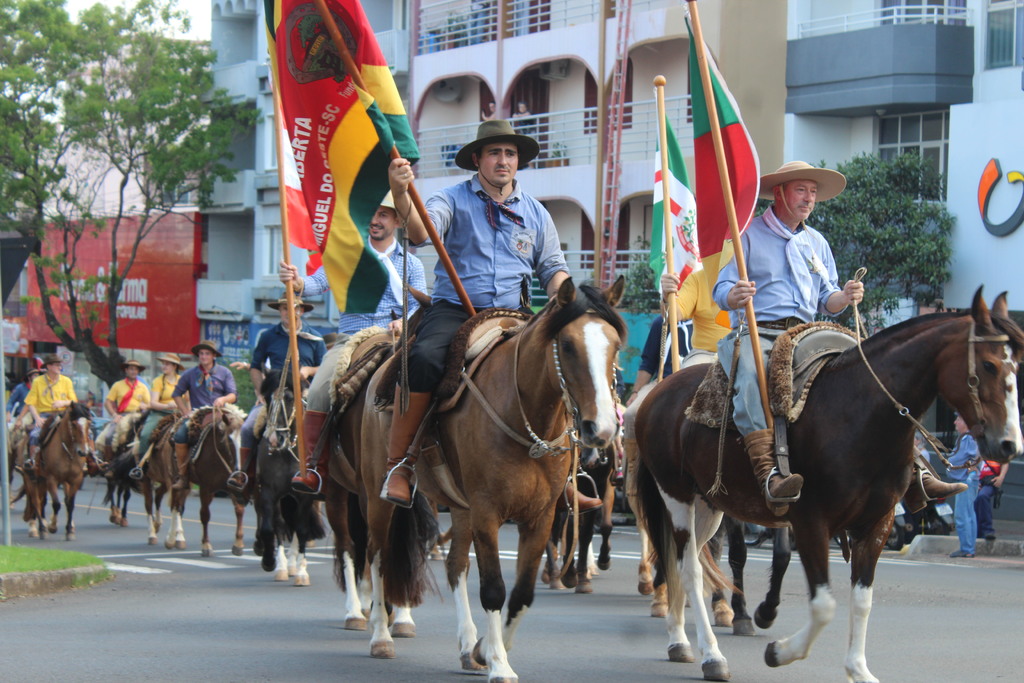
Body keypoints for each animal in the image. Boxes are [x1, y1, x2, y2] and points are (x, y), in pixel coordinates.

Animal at [22, 403, 95, 540]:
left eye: (89, 422)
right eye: (74, 424)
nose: (83, 452)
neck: (67, 450)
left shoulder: (75, 479)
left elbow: (70, 504)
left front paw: (69, 531)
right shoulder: (52, 479)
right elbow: (56, 504)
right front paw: (52, 527)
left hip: (43, 480)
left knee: (43, 500)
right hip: (31, 479)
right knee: (35, 501)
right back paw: (41, 528)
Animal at [167, 403, 249, 557]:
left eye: (244, 439)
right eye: (228, 440)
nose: (239, 474)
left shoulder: (232, 486)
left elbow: (239, 510)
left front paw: (238, 544)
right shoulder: (206, 489)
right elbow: (205, 515)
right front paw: (206, 546)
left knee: (179, 505)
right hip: (175, 478)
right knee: (176, 504)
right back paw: (171, 539)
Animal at [364, 278, 626, 679]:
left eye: (614, 346)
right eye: (567, 345)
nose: (603, 429)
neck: (526, 418)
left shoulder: (540, 516)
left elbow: (522, 593)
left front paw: (485, 649)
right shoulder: (487, 513)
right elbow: (493, 590)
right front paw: (499, 665)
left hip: (460, 507)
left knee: (456, 566)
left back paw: (466, 645)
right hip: (379, 496)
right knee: (377, 556)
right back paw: (380, 635)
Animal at [634, 290, 1019, 683]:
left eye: (1016, 365)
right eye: (989, 365)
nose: (1008, 445)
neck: (860, 414)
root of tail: (657, 392)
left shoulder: (877, 523)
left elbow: (861, 600)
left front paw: (858, 669)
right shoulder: (810, 522)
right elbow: (823, 605)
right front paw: (779, 651)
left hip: (709, 505)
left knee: (685, 561)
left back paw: (679, 639)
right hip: (676, 496)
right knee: (689, 569)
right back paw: (712, 655)